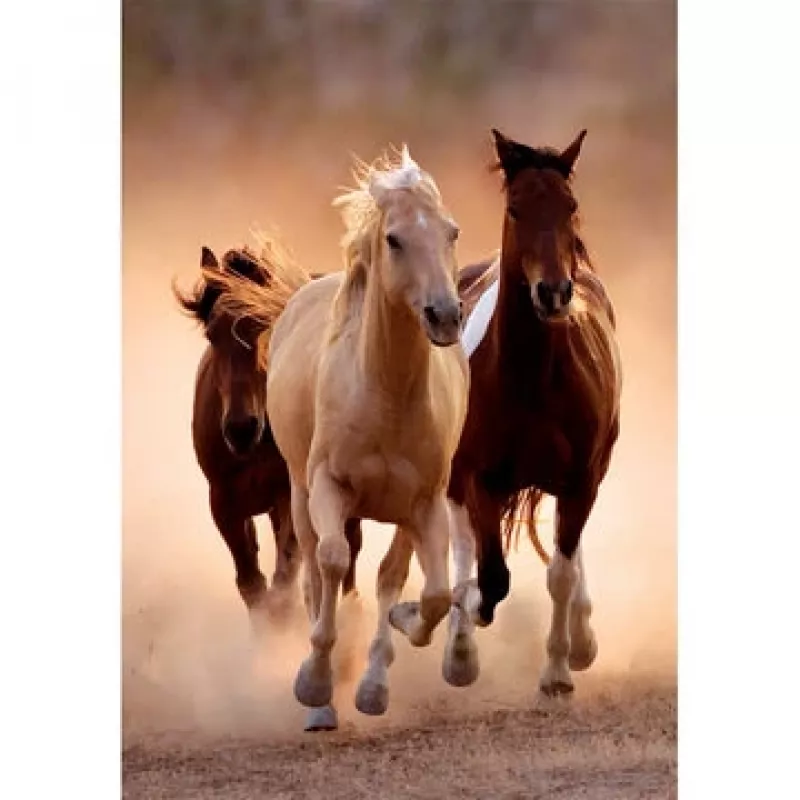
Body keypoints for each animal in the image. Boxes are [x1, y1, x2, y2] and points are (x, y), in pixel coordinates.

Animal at [172, 245, 363, 644]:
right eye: (212, 335)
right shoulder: (224, 502)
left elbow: (284, 582)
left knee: (349, 551)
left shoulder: (286, 495)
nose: (241, 429)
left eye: (266, 325)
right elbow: (252, 584)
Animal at [207, 146, 470, 730]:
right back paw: (322, 700)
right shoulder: (327, 487)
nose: (445, 315)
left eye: (452, 232)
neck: (386, 395)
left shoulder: (425, 503)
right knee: (312, 571)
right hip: (299, 496)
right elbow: (329, 563)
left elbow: (430, 593)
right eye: (394, 239)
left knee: (387, 575)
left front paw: (392, 648)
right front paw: (314, 683)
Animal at [443, 129, 622, 697]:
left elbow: (560, 572)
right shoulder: (479, 477)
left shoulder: (581, 478)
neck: (532, 379)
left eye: (570, 206)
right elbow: (490, 575)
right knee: (462, 544)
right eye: (516, 209)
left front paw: (559, 670)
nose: (554, 292)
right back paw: (459, 650)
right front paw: (468, 622)